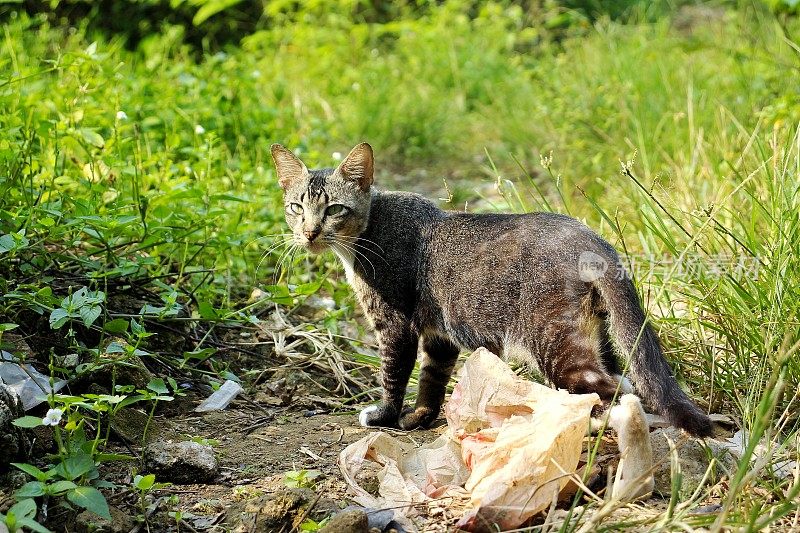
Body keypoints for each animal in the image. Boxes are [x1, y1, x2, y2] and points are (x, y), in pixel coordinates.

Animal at [272, 141, 716, 436]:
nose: (309, 233)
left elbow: (393, 376)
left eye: (334, 209)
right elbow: (432, 379)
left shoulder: (395, 325)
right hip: (596, 332)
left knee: (614, 389)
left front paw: (384, 415)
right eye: (296, 207)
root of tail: (592, 239)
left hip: (555, 340)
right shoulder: (439, 334)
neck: (367, 232)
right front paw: (420, 417)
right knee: (621, 378)